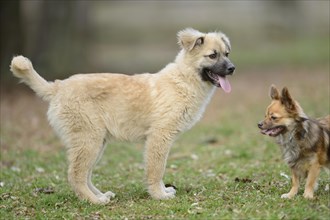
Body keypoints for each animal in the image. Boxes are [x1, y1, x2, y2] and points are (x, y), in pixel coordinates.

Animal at [10, 27, 235, 205]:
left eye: (227, 53)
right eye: (212, 55)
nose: (232, 68)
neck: (184, 79)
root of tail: (57, 87)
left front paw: (162, 191)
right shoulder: (159, 137)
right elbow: (157, 169)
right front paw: (159, 194)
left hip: (96, 142)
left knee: (85, 174)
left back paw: (100, 195)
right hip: (88, 140)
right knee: (76, 175)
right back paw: (94, 201)